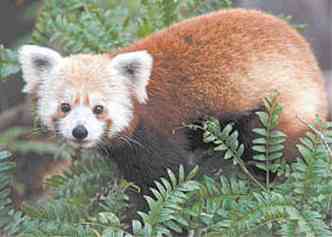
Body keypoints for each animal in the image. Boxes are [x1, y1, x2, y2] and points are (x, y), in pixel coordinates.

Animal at [18, 8, 326, 191]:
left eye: (99, 108)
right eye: (65, 107)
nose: (79, 132)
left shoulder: (157, 130)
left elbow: (163, 176)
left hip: (278, 107)